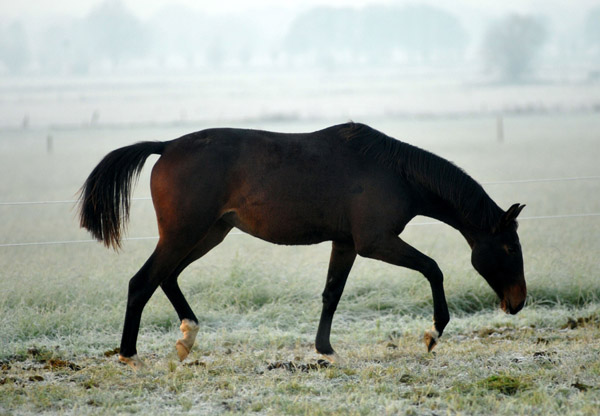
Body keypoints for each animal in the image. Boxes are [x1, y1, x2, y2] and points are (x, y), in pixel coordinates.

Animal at [78, 122, 524, 368]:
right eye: (507, 249)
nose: (517, 301)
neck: (394, 172)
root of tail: (166, 146)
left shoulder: (345, 243)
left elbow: (331, 294)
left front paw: (325, 350)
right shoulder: (375, 241)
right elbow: (433, 267)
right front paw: (433, 333)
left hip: (209, 233)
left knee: (166, 277)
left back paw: (187, 339)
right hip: (184, 234)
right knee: (142, 282)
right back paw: (130, 356)